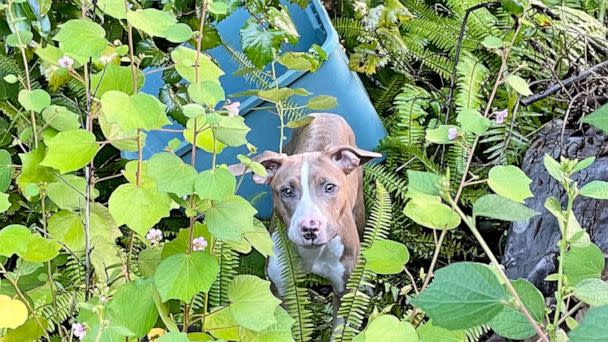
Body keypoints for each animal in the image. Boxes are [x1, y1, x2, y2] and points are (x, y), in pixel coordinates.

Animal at [229, 113, 380, 300]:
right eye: (287, 191)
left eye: (329, 187)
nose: (310, 228)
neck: (313, 253)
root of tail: (325, 114)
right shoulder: (281, 289)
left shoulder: (343, 289)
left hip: (359, 211)